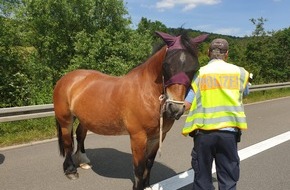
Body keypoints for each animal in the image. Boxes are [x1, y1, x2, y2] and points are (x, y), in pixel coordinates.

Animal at [53, 31, 208, 189]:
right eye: (166, 64)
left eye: (195, 67)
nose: (175, 109)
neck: (146, 93)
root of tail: (66, 79)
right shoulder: (138, 137)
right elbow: (139, 167)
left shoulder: (158, 136)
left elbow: (149, 163)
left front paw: (147, 185)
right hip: (65, 119)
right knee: (68, 142)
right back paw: (70, 170)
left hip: (84, 118)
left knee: (80, 135)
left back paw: (83, 161)